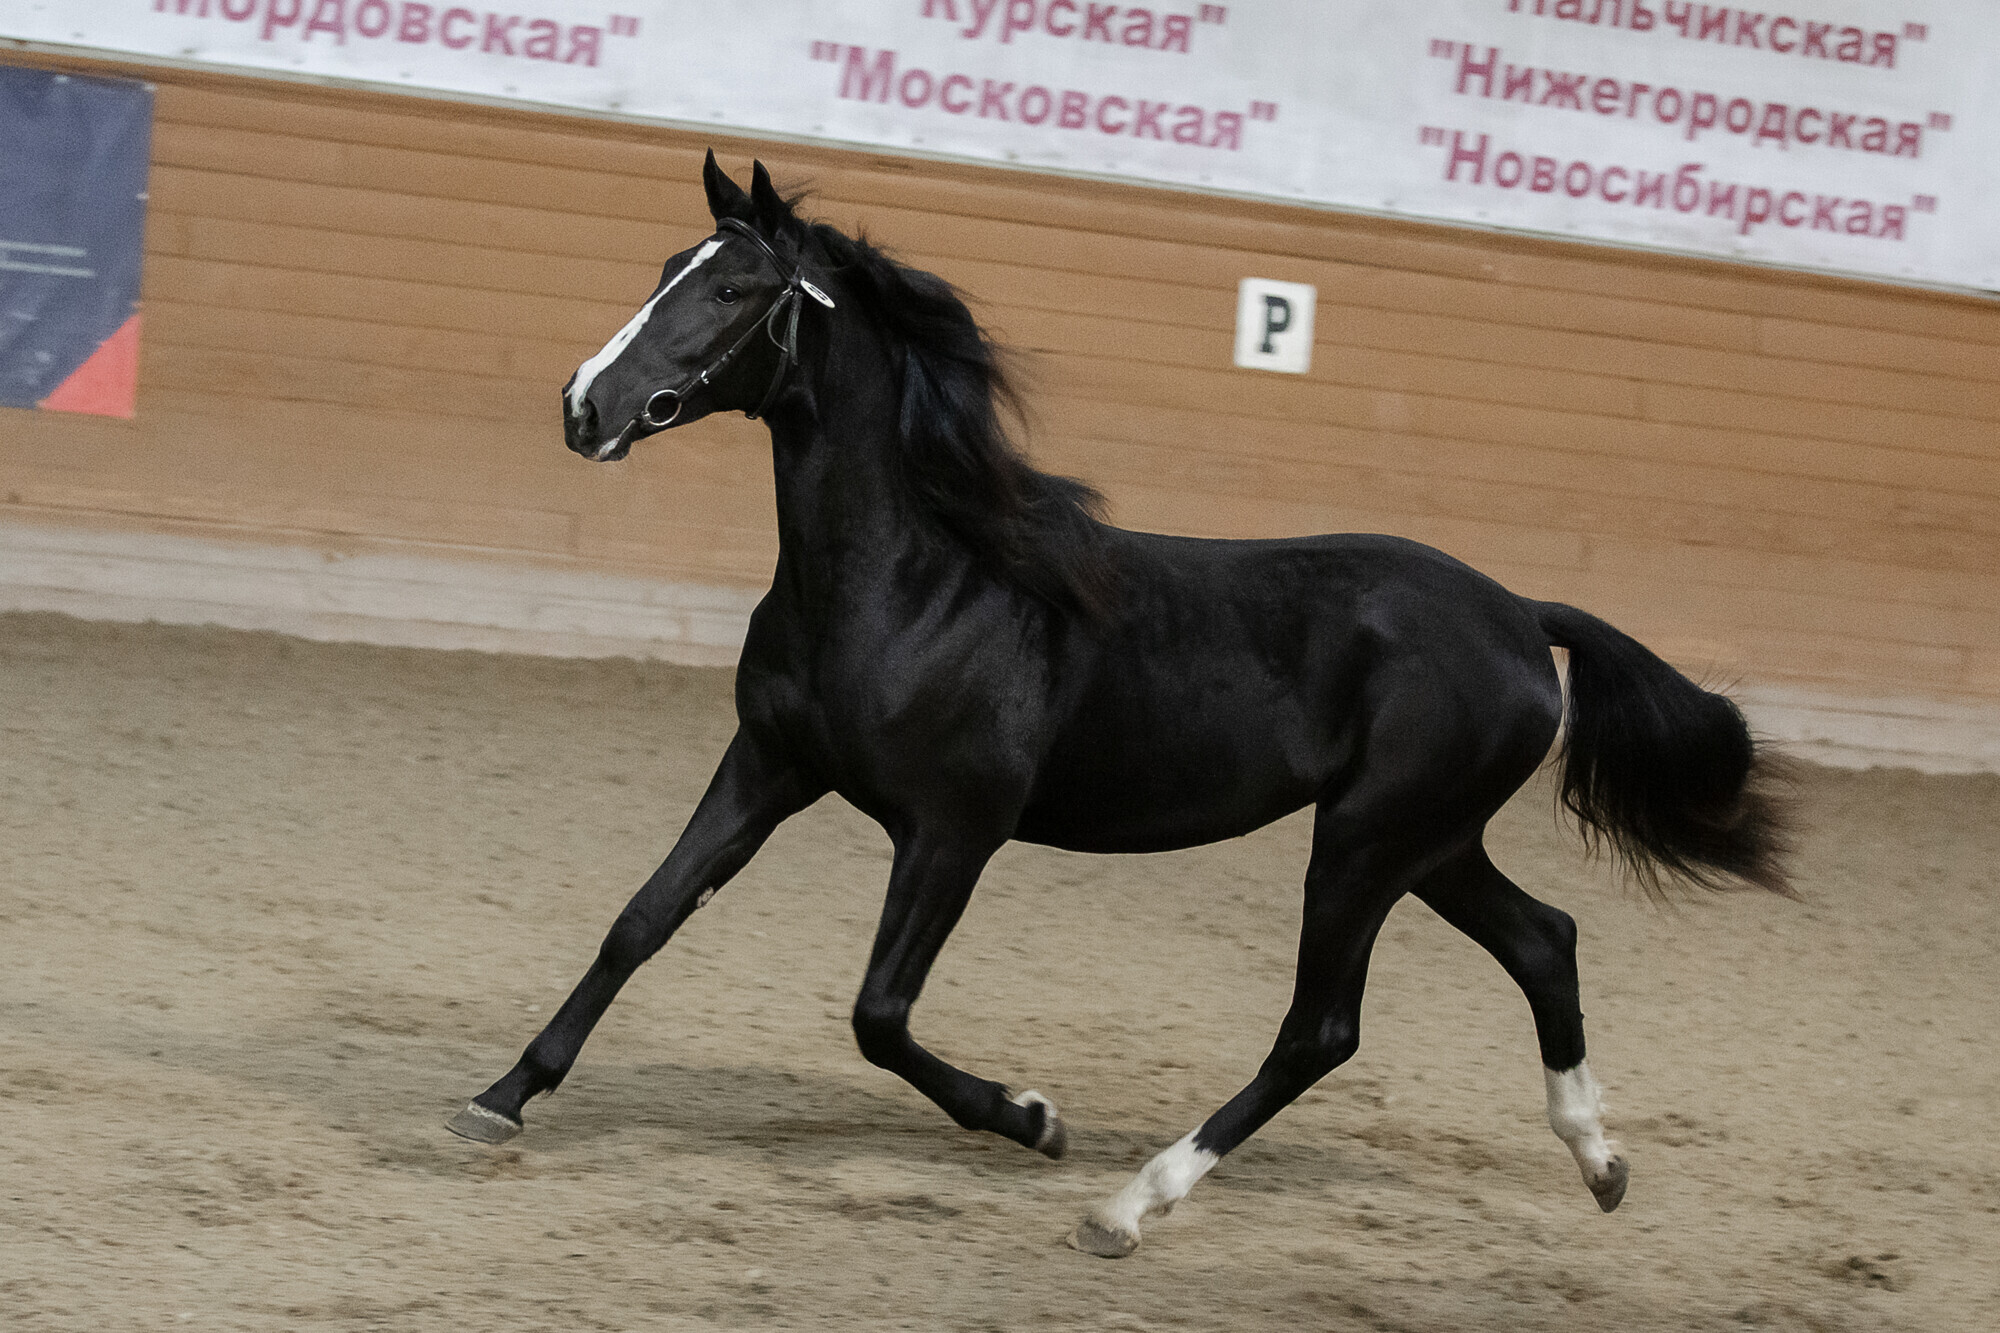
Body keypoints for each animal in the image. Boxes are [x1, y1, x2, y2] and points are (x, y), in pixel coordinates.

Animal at [458, 156, 1800, 1256]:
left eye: (737, 290)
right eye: (665, 270)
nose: (583, 407)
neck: (916, 579)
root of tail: (1523, 614)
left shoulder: (952, 830)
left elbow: (877, 1015)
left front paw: (1033, 1117)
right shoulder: (768, 764)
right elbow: (640, 920)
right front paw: (499, 1098)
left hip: (1365, 844)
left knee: (1321, 1028)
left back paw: (1126, 1204)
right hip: (1427, 842)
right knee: (1542, 939)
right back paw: (1599, 1160)